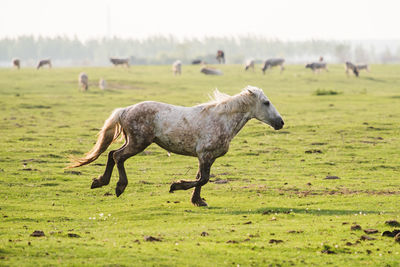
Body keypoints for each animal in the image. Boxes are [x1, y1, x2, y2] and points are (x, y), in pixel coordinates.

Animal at [69, 86, 282, 207]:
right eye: (266, 102)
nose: (281, 123)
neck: (221, 120)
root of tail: (125, 110)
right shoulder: (205, 155)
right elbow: (203, 179)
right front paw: (176, 186)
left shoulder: (207, 157)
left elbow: (200, 178)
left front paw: (198, 201)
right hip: (138, 142)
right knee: (117, 156)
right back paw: (118, 186)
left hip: (133, 142)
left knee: (112, 153)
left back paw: (100, 181)